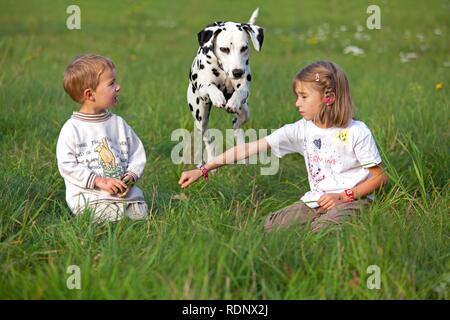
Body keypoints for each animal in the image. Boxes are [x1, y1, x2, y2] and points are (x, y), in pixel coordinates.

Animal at [186, 8, 264, 164]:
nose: (237, 72)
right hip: (200, 117)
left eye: (244, 48)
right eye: (224, 49)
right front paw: (217, 96)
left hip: (244, 111)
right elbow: (210, 87)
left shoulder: (244, 89)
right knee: (208, 139)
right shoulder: (202, 88)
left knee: (236, 124)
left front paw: (233, 101)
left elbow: (240, 91)